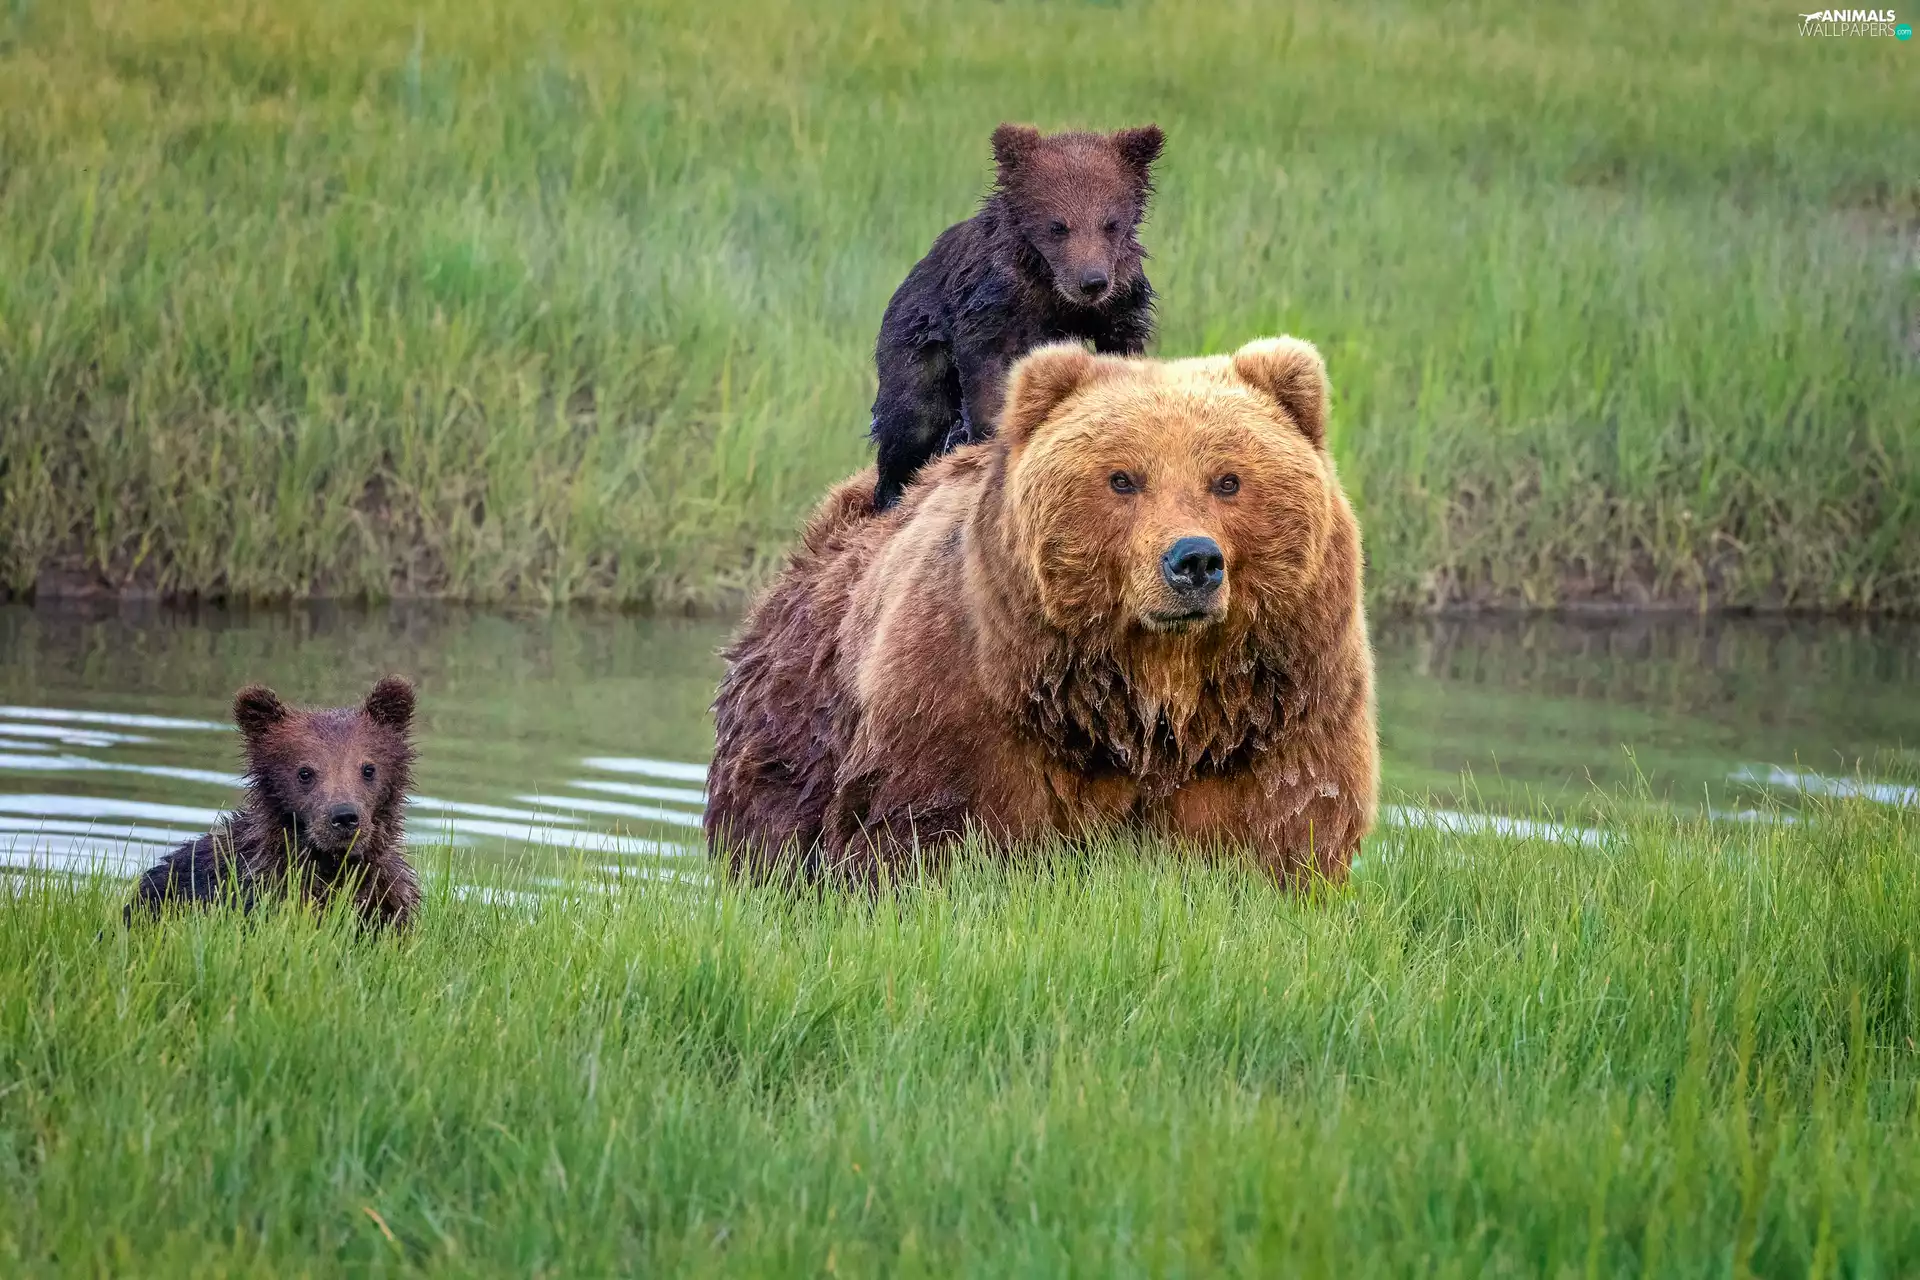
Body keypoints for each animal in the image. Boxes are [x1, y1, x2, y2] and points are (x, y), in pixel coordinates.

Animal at [708, 336, 1377, 884]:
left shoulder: (1276, 714)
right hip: (794, 728)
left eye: (1229, 480)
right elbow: (933, 831)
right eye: (1123, 479)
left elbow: (1284, 825)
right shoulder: (965, 703)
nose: (1194, 561)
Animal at [867, 121, 1164, 511]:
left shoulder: (1120, 297)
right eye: (1058, 225)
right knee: (911, 417)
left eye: (1110, 223)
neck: (1053, 288)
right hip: (914, 340)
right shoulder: (996, 302)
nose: (1092, 282)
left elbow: (1122, 343)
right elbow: (987, 371)